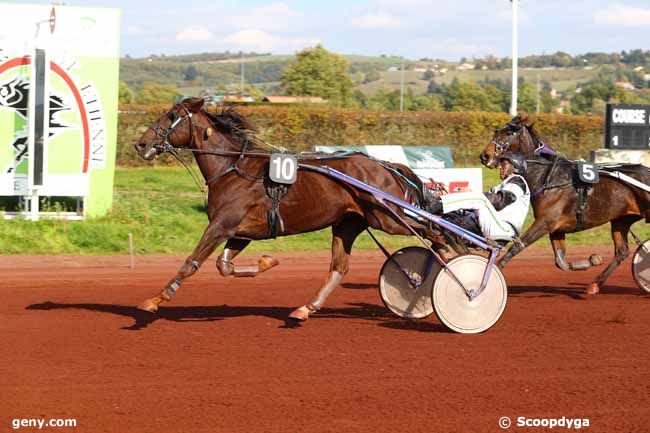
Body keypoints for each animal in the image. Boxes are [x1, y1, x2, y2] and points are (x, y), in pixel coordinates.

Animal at [133, 98, 430, 320]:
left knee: (432, 232)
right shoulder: (242, 232)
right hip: (348, 224)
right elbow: (224, 266)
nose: (141, 144)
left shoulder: (221, 225)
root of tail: (385, 165)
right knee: (339, 267)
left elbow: (191, 263)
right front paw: (267, 261)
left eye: (171, 116)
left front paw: (156, 299)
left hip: (388, 218)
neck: (233, 169)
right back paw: (306, 308)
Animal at [476, 115, 648, 294]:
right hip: (621, 221)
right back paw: (594, 285)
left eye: (509, 132)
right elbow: (560, 262)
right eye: (496, 131)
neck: (547, 177)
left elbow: (516, 248)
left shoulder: (545, 222)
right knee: (622, 252)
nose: (485, 156)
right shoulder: (556, 228)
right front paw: (592, 261)